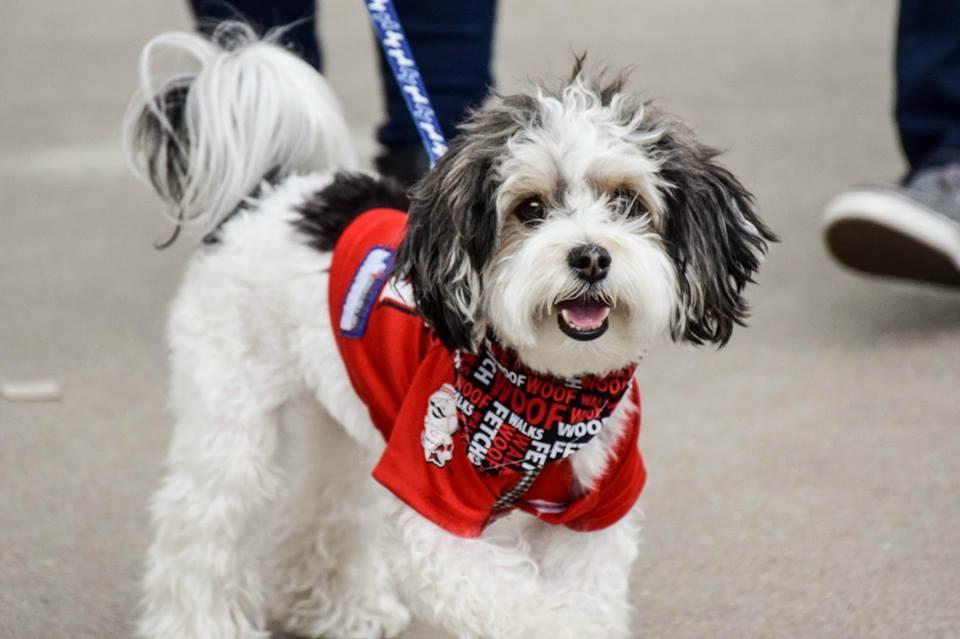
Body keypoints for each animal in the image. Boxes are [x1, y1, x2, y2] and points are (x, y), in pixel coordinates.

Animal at [124, 22, 776, 639]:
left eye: (627, 203)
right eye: (531, 209)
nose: (591, 257)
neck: (549, 395)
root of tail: (270, 193)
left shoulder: (596, 510)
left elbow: (586, 598)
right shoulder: (432, 504)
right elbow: (523, 608)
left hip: (345, 416)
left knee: (327, 506)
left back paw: (345, 610)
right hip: (231, 411)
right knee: (201, 524)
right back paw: (197, 623)